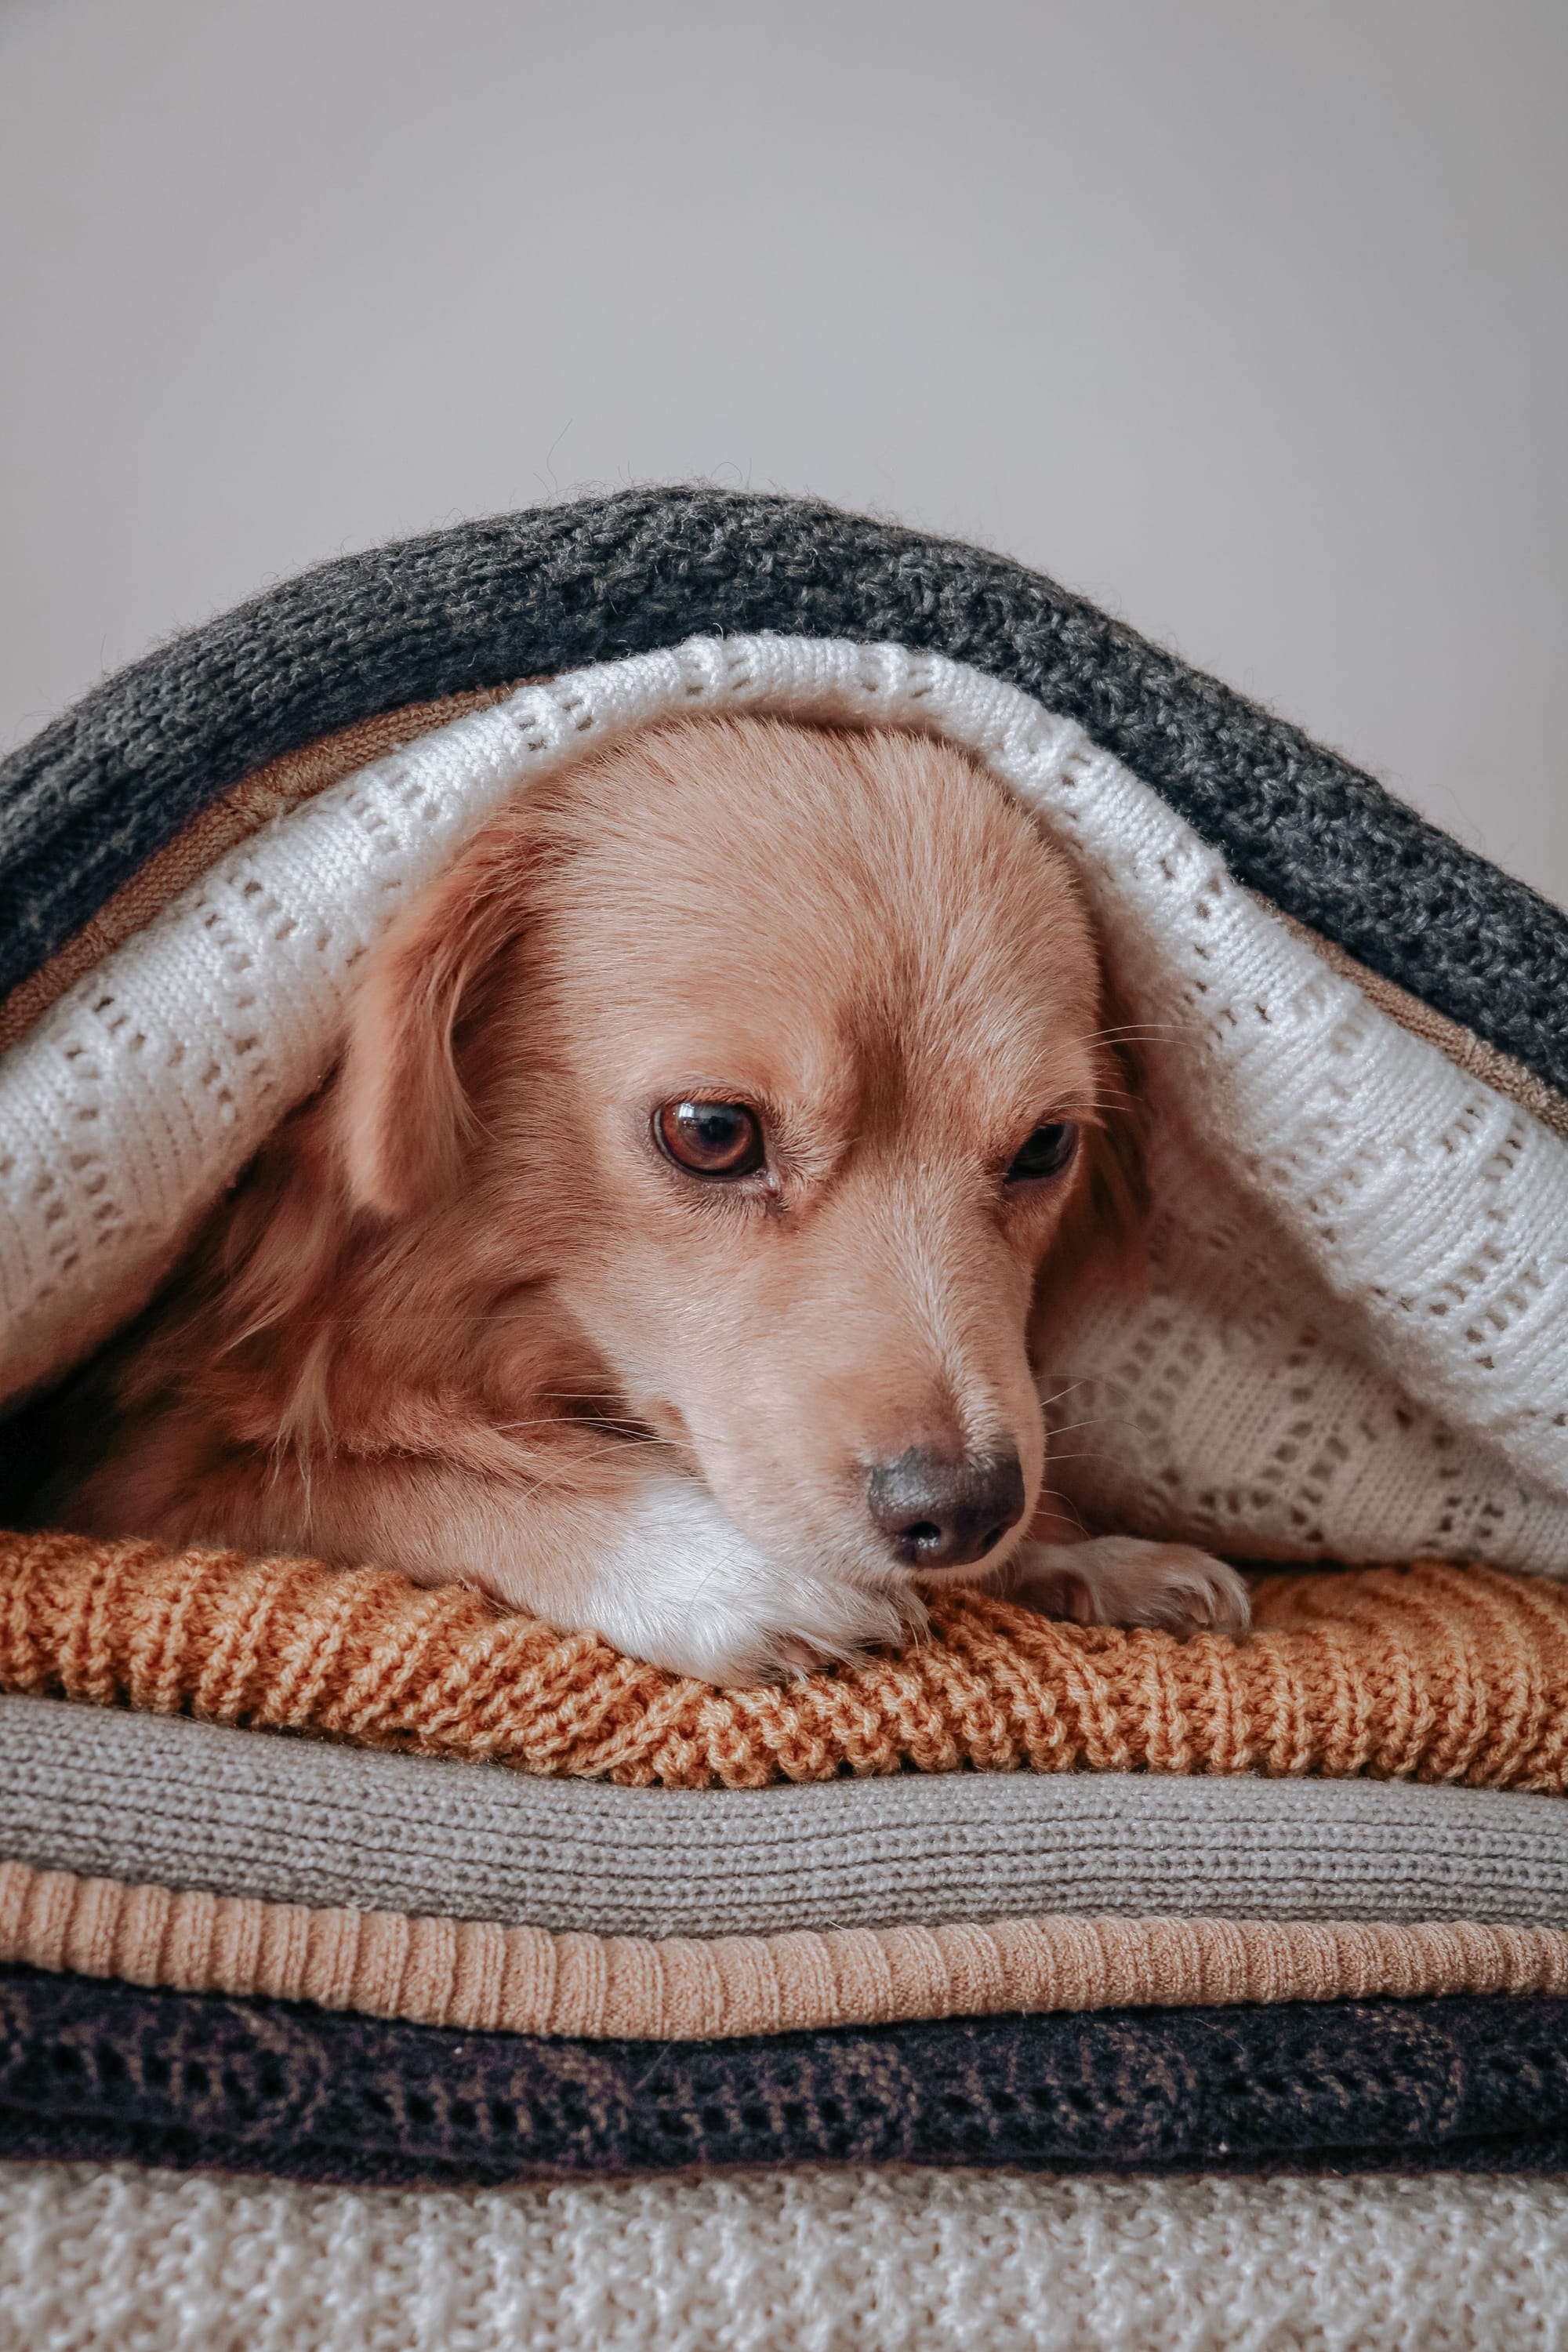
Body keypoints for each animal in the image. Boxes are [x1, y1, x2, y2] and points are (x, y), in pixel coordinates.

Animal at [39, 706, 1250, 1684]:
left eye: (1045, 1146)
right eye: (711, 1134)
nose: (960, 1514)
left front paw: (1078, 1551)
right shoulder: (137, 1475)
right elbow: (380, 1478)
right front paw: (714, 1569)